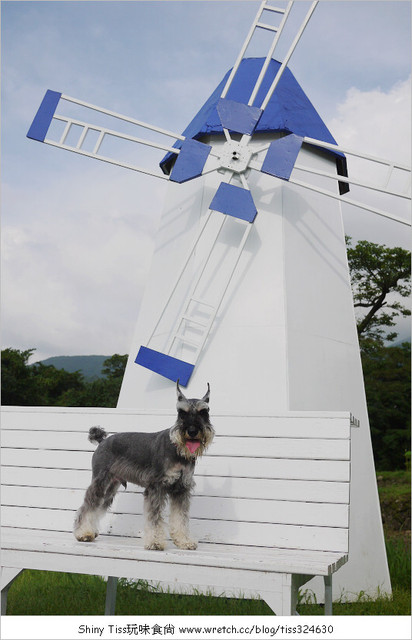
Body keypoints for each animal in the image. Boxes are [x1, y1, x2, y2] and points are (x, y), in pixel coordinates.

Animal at [73, 380, 214, 552]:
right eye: (181, 413)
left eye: (204, 412)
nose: (192, 431)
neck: (177, 449)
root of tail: (103, 441)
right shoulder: (156, 487)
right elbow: (154, 518)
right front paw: (155, 542)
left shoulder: (181, 489)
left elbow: (180, 518)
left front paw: (184, 541)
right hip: (100, 482)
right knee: (88, 506)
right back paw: (83, 533)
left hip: (111, 488)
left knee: (98, 507)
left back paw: (91, 531)